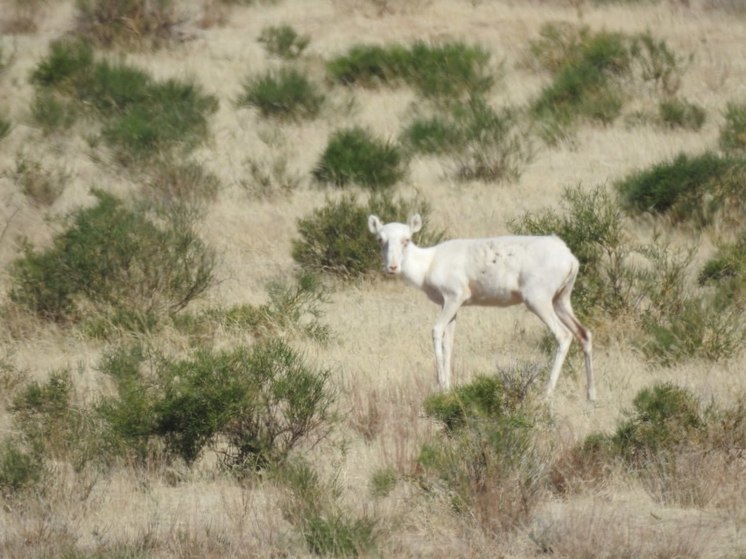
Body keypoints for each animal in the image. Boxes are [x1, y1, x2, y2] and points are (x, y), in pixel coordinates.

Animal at [366, 214, 592, 402]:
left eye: (406, 239)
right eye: (380, 239)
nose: (392, 267)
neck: (429, 263)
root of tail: (569, 256)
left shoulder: (454, 297)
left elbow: (436, 331)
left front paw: (441, 387)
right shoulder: (450, 306)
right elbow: (449, 343)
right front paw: (449, 387)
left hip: (538, 301)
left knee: (563, 335)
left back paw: (546, 395)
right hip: (561, 301)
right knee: (584, 333)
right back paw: (591, 396)